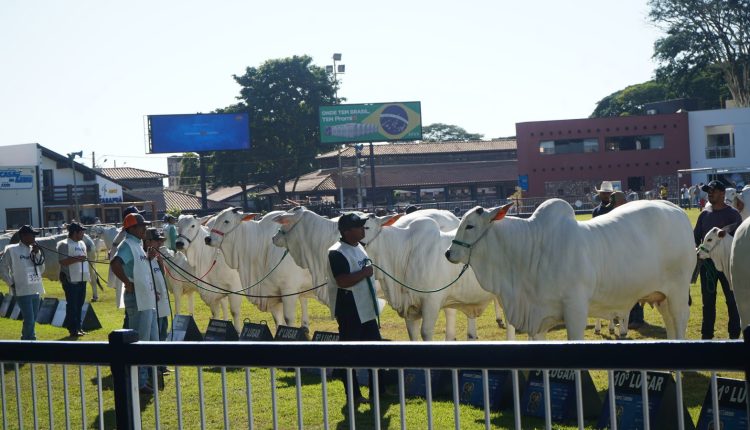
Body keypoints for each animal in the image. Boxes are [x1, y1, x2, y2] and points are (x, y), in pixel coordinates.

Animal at [444, 198, 696, 340]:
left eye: (469, 225)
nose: (448, 253)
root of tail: (677, 210)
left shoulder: (575, 309)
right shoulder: (538, 318)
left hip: (678, 291)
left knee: (680, 319)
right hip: (661, 296)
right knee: (670, 323)